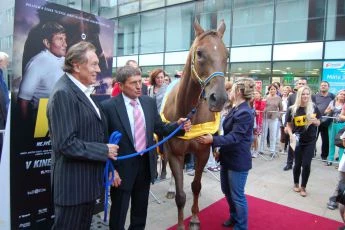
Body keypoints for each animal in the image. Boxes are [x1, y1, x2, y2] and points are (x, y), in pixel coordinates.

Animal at [162, 20, 228, 230]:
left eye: (227, 54)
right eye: (199, 53)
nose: (219, 98)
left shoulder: (203, 152)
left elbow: (196, 186)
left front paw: (195, 219)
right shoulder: (175, 153)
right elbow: (181, 195)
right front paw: (181, 224)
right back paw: (170, 188)